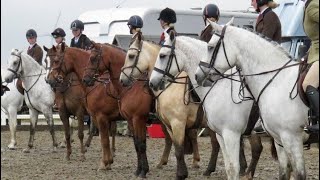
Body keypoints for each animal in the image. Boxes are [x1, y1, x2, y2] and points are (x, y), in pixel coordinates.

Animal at [46, 43, 122, 172]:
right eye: (46, 60)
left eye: (56, 60)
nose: (50, 81)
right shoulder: (63, 113)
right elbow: (68, 134)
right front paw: (68, 154)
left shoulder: (80, 112)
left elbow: (80, 133)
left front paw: (82, 155)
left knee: (111, 131)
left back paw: (112, 151)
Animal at [119, 34, 236, 179]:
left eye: (131, 55)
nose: (122, 79)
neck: (170, 86)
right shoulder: (167, 125)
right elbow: (174, 147)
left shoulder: (176, 123)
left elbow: (178, 150)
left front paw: (180, 174)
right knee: (216, 145)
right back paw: (209, 170)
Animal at [195, 19, 310, 179]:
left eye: (210, 47)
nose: (197, 75)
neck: (276, 80)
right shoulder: (280, 139)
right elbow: (283, 171)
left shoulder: (292, 137)